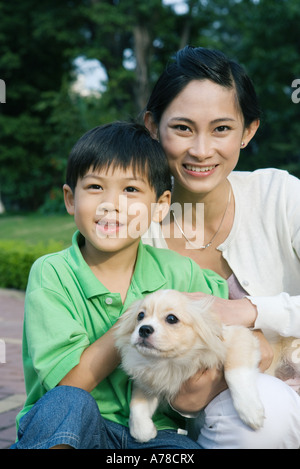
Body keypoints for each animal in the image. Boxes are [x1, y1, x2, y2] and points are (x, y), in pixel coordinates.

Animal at [115, 288, 264, 442]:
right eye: (140, 316)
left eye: (171, 319)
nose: (144, 329)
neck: (169, 362)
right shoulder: (148, 383)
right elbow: (136, 404)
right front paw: (143, 430)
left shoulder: (239, 336)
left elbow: (234, 373)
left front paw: (250, 410)